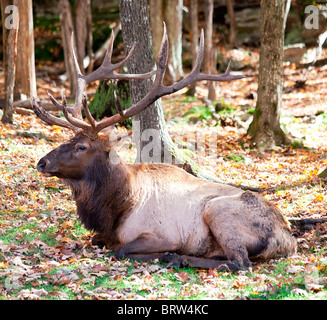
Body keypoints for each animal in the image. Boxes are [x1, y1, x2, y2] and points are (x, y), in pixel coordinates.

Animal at [32, 25, 298, 270]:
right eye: (69, 139)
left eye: (82, 147)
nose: (42, 162)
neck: (117, 207)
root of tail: (288, 239)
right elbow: (96, 241)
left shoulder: (162, 235)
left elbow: (120, 250)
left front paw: (166, 254)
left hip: (217, 211)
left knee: (239, 262)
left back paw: (179, 258)